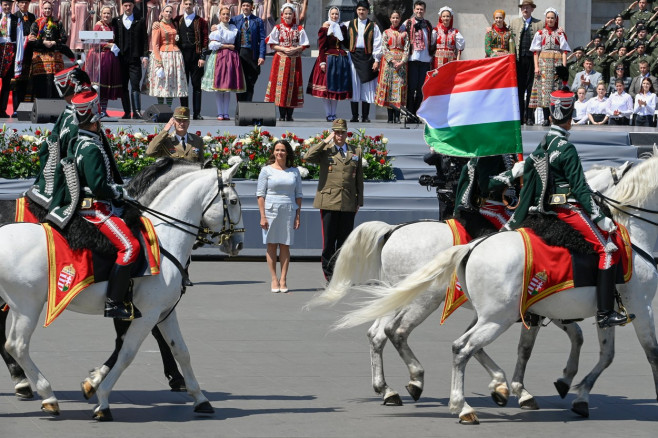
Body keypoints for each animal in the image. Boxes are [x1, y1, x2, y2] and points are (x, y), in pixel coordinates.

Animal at [0, 162, 243, 420]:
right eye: (234, 201)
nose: (238, 243)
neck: (164, 239)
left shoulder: (164, 312)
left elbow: (181, 350)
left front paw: (200, 398)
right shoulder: (146, 314)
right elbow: (127, 351)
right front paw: (102, 399)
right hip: (27, 305)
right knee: (17, 345)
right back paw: (46, 394)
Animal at [336, 155, 656, 424]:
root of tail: (394, 230)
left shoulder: (572, 307)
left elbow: (592, 347)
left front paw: (558, 387)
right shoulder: (636, 306)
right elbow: (644, 351)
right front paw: (519, 388)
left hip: (402, 298)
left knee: (378, 334)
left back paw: (389, 389)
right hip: (428, 300)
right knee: (400, 332)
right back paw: (425, 387)